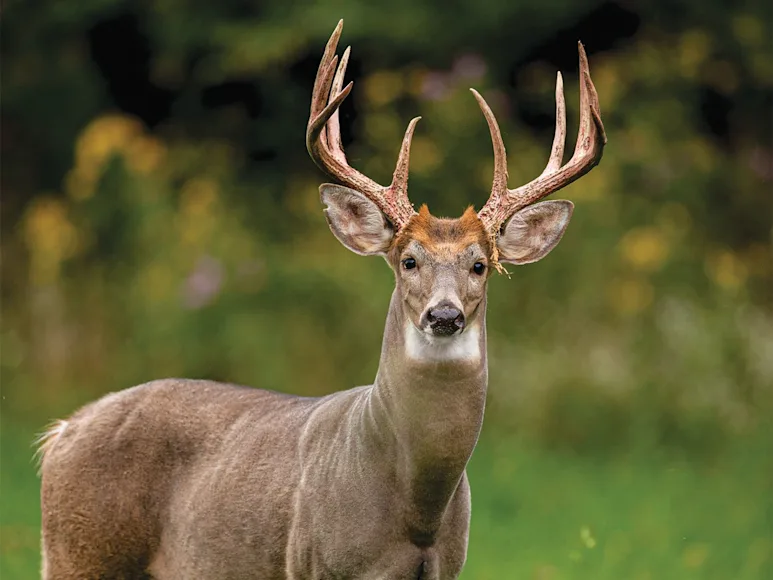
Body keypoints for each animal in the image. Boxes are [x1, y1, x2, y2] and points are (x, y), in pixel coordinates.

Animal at [38, 20, 605, 580]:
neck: (415, 508)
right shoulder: (316, 561)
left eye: (479, 265)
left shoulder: (448, 566)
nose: (444, 315)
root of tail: (63, 432)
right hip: (79, 553)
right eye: (408, 261)